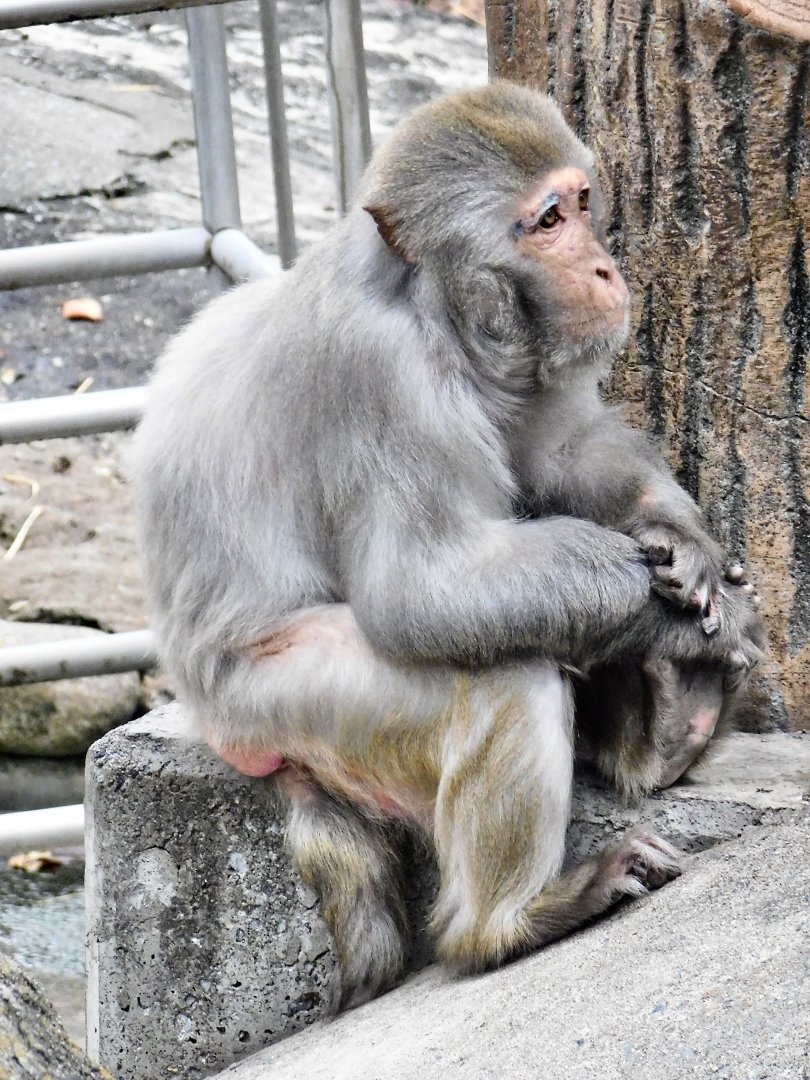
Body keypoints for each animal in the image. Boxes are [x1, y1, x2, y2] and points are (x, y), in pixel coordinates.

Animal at [131, 81, 764, 1009]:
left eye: (582, 203)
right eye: (546, 222)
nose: (605, 269)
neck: (434, 309)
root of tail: (217, 720)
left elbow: (562, 447)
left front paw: (680, 543)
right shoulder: (380, 376)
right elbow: (423, 592)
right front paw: (665, 616)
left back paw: (676, 719)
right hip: (295, 699)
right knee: (503, 670)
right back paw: (511, 922)